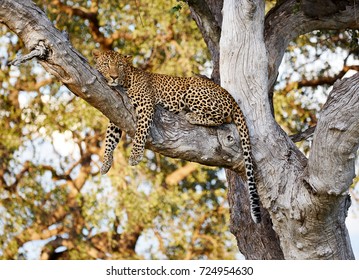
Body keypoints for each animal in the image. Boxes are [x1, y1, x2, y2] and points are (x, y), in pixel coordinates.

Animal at [93, 48, 262, 223]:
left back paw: (191, 116)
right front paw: (105, 164)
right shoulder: (116, 112)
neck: (126, 80)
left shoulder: (146, 105)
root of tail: (229, 94)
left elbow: (140, 132)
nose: (113, 76)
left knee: (222, 117)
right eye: (106, 64)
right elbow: (109, 139)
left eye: (119, 65)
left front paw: (135, 156)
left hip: (193, 91)